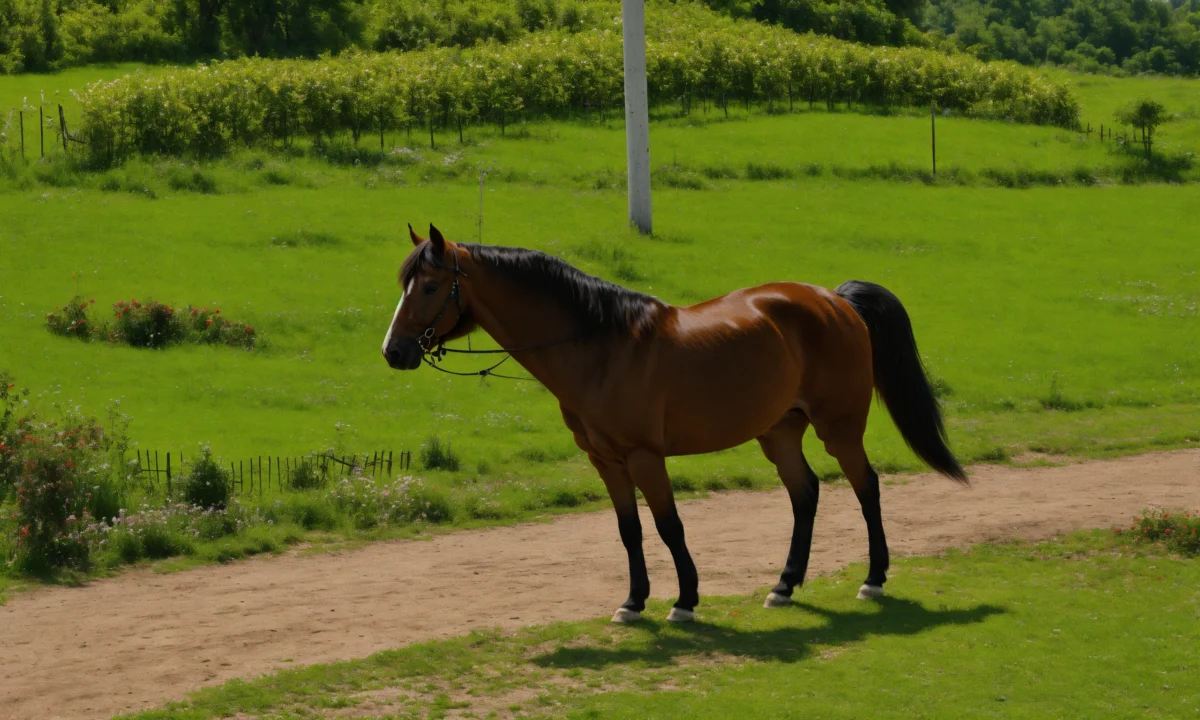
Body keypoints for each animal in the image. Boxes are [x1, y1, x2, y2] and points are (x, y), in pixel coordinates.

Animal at [383, 224, 967, 624]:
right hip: (779, 431)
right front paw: (633, 601)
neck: (600, 345)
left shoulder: (645, 457)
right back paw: (784, 585)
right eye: (406, 283)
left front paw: (684, 600)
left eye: (429, 286)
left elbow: (669, 525)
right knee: (805, 494)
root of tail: (834, 300)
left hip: (839, 427)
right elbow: (630, 530)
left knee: (866, 488)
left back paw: (874, 578)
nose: (394, 351)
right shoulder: (606, 460)